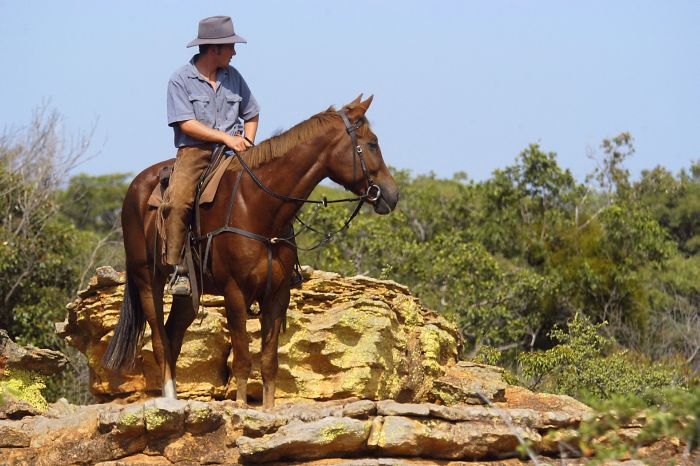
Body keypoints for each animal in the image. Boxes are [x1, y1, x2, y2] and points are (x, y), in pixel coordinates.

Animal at [103, 95, 400, 408]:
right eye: (372, 143)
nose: (392, 194)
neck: (259, 207)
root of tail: (135, 188)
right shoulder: (235, 294)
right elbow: (243, 359)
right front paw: (242, 405)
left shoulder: (278, 295)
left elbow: (269, 362)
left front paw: (267, 408)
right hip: (147, 281)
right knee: (160, 339)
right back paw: (170, 398)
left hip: (190, 294)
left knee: (173, 335)